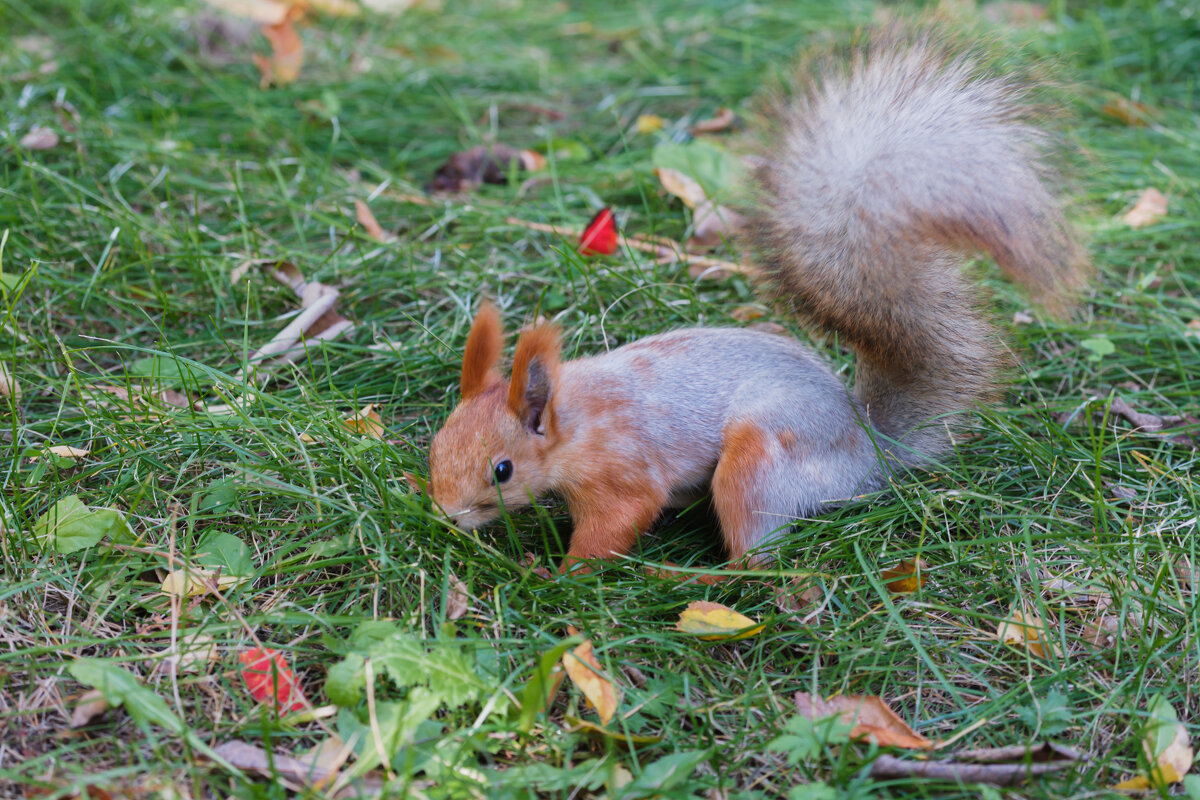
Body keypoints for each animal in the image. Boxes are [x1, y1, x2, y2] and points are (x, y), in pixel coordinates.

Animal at [429, 31, 1089, 568]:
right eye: (438, 441)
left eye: (503, 470)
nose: (446, 516)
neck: (573, 421)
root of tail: (866, 451)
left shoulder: (620, 470)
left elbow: (616, 522)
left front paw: (562, 574)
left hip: (760, 458)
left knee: (757, 547)